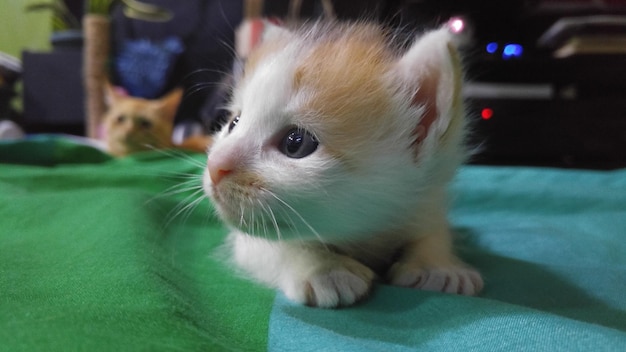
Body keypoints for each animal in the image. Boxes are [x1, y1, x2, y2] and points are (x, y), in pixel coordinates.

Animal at [204, 21, 482, 308]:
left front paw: (437, 266)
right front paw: (323, 268)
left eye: (296, 142)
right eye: (234, 123)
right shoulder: (247, 240)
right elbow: (274, 245)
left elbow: (434, 231)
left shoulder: (425, 199)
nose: (214, 166)